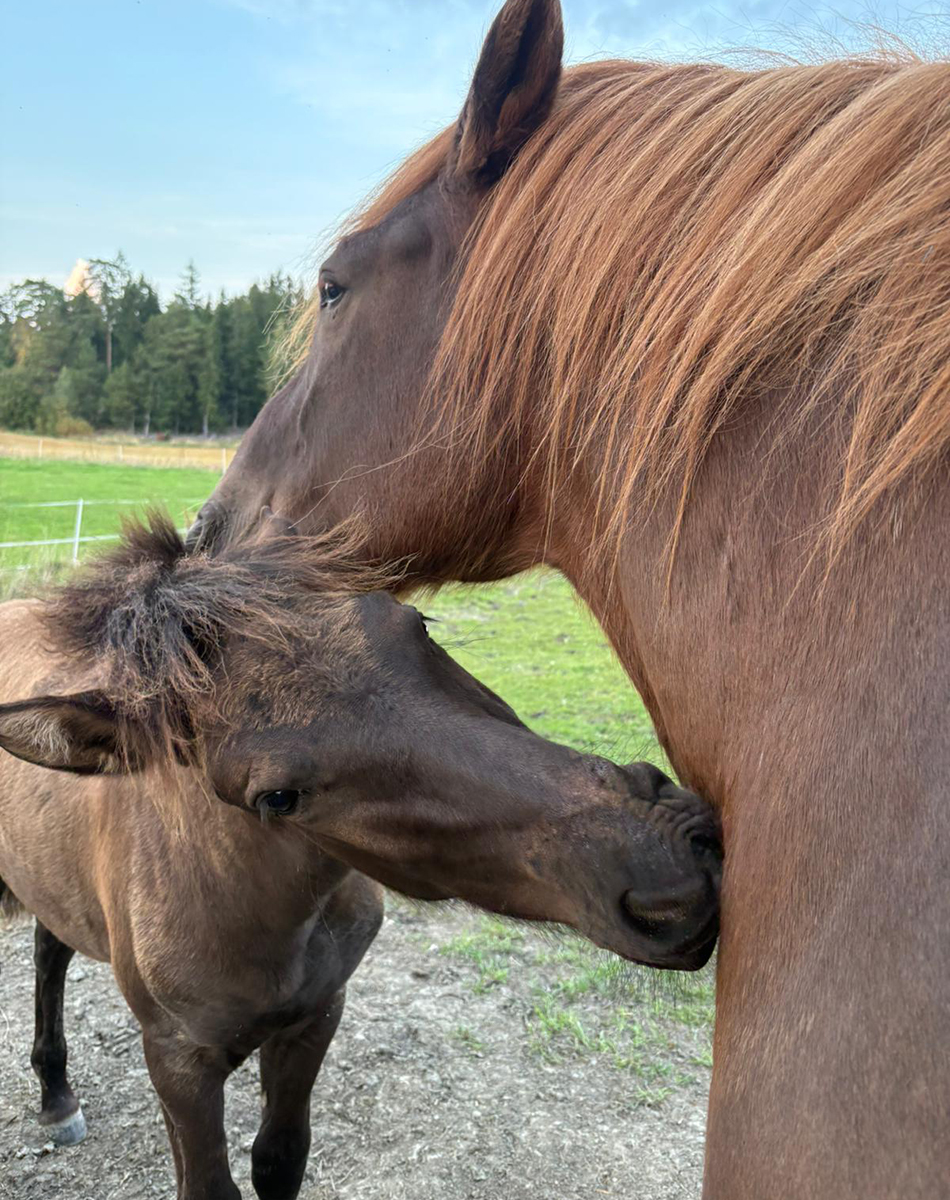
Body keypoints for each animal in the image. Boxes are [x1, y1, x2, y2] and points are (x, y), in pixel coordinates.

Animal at [0, 514, 721, 1200]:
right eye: (277, 797)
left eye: (418, 625)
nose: (665, 872)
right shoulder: (179, 1065)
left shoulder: (317, 1016)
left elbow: (281, 1161)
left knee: (50, 945)